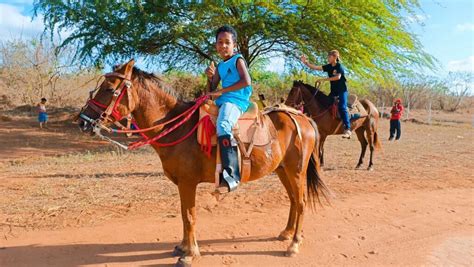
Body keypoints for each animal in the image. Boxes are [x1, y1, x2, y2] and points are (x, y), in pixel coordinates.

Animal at [78, 59, 330, 266]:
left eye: (109, 89)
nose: (83, 121)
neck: (176, 126)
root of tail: (302, 118)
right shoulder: (182, 184)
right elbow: (183, 214)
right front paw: (183, 247)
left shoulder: (188, 182)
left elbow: (189, 216)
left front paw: (190, 254)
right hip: (282, 170)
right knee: (293, 200)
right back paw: (286, 233)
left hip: (296, 170)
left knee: (301, 202)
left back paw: (294, 244)